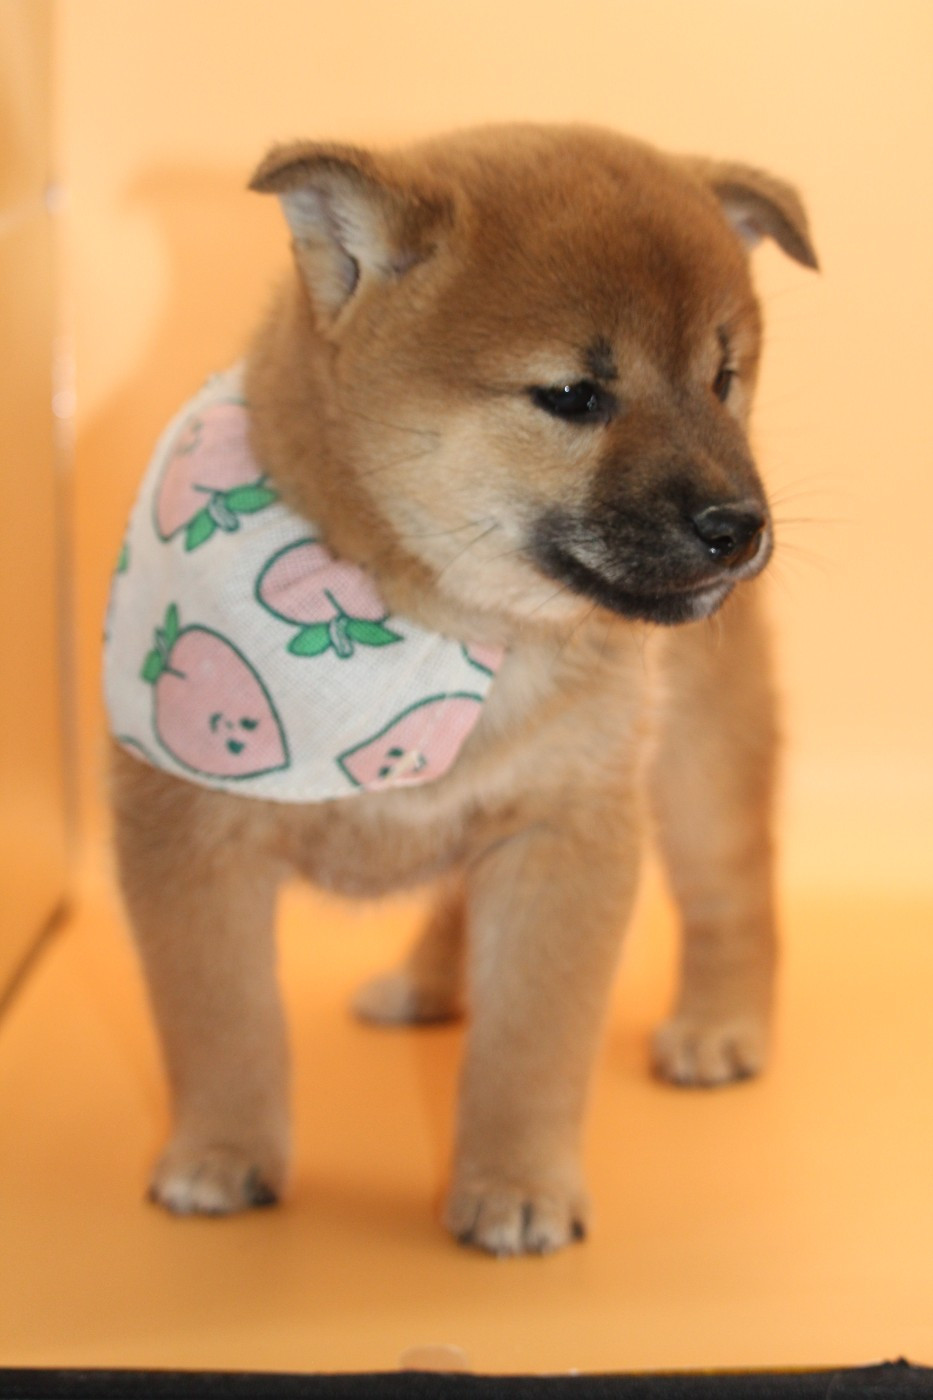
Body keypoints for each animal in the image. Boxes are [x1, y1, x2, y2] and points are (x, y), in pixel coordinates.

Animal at [106, 124, 816, 1256]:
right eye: (572, 395)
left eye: (723, 377)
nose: (738, 527)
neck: (436, 630)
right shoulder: (188, 829)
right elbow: (221, 1019)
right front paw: (220, 1151)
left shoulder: (563, 829)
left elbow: (530, 1041)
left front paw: (516, 1183)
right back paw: (425, 985)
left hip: (700, 762)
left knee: (732, 894)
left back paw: (720, 1024)